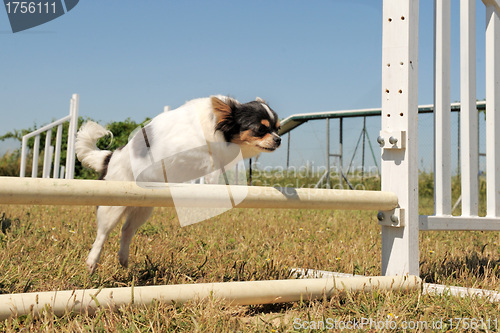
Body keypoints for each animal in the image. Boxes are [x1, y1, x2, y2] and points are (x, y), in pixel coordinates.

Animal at [77, 94, 282, 272]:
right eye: (260, 129)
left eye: (277, 128)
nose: (279, 139)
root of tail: (109, 158)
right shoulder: (179, 150)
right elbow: (207, 158)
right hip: (112, 206)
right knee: (102, 235)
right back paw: (92, 262)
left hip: (142, 209)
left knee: (126, 231)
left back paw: (123, 259)